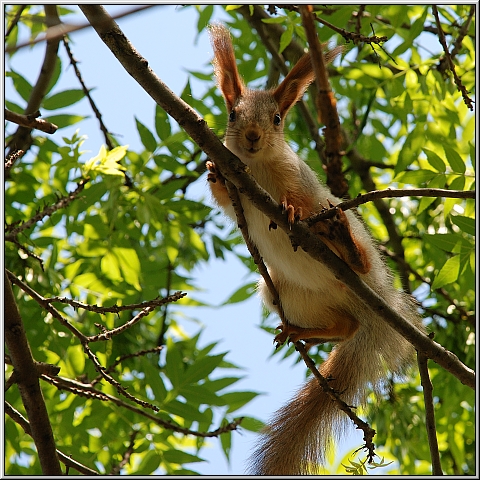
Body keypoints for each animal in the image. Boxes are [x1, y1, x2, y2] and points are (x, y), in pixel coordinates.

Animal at [204, 24, 422, 474]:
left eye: (277, 118)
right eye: (232, 114)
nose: (252, 137)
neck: (257, 169)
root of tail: (375, 307)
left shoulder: (299, 179)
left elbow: (297, 199)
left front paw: (289, 209)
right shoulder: (235, 197)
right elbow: (224, 198)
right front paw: (214, 171)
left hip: (356, 249)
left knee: (358, 266)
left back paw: (345, 247)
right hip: (281, 292)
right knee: (344, 327)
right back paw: (299, 331)